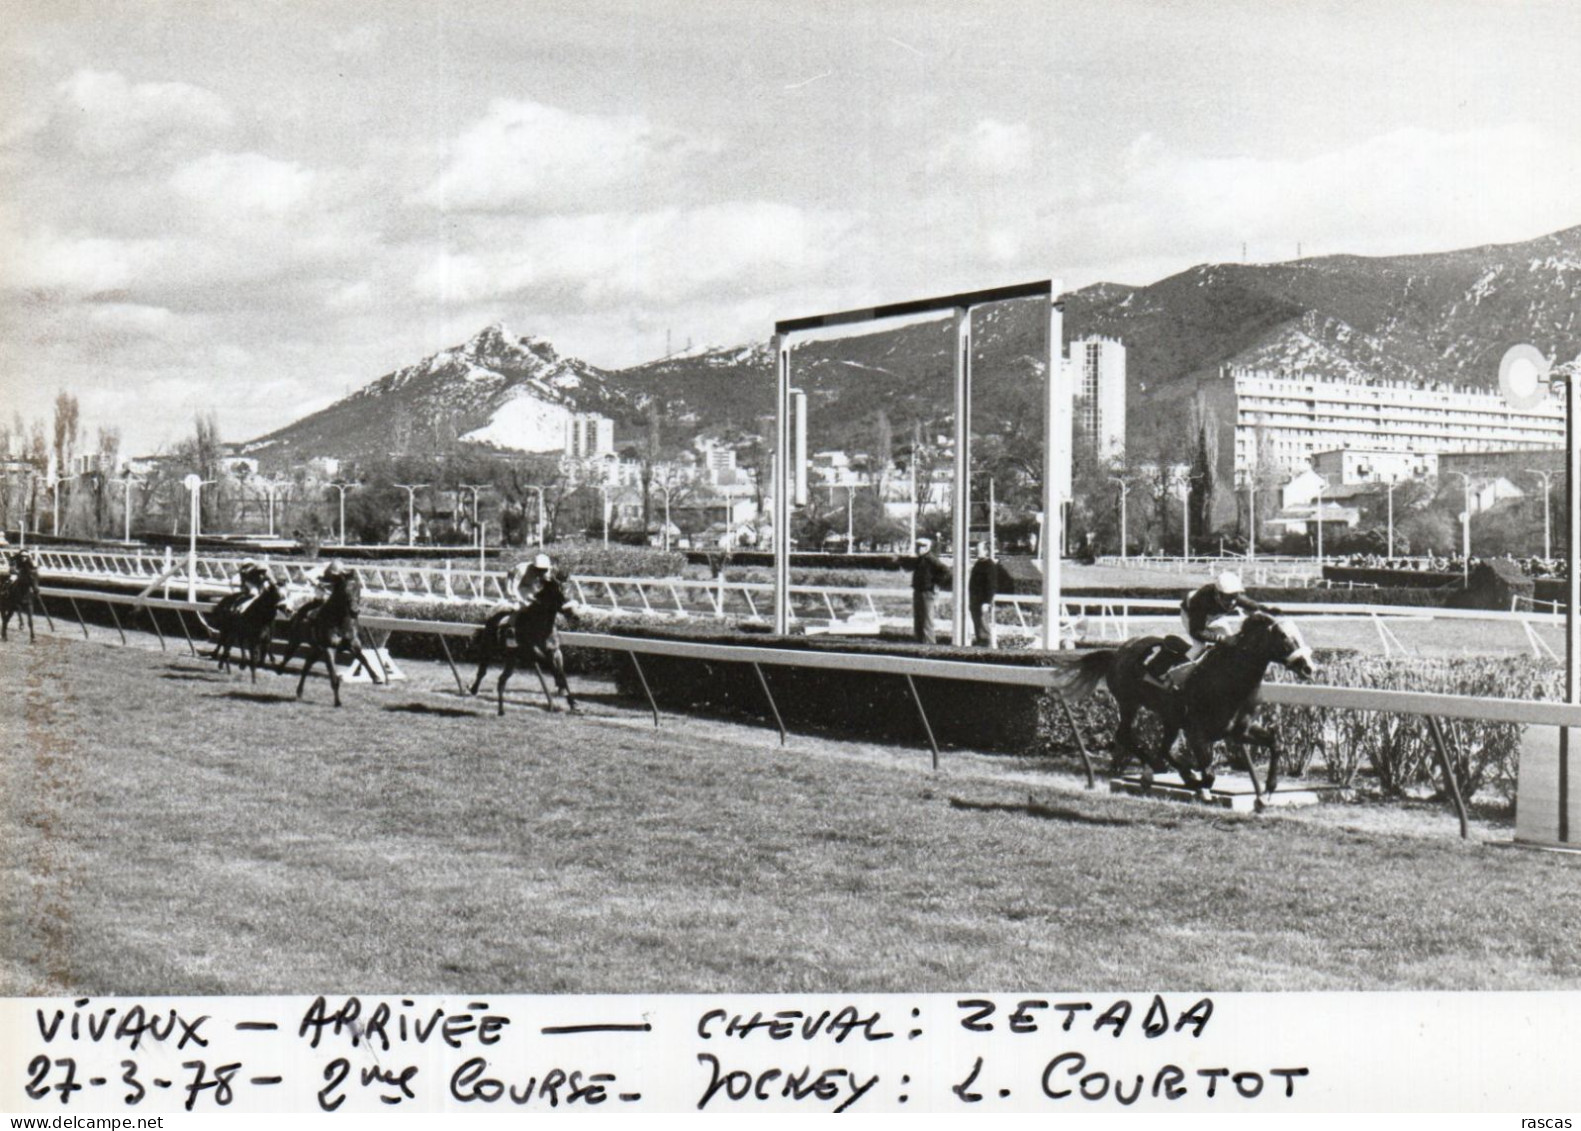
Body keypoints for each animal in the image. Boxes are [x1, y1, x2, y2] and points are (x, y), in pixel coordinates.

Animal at [273, 569, 381, 702]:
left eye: (358, 588)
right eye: (345, 590)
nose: (355, 611)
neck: (339, 622)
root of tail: (300, 612)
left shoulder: (353, 646)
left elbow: (364, 659)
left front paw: (376, 678)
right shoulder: (329, 648)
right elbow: (333, 674)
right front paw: (337, 701)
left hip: (317, 650)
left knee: (307, 665)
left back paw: (299, 691)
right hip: (295, 642)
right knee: (288, 657)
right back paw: (279, 670)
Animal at [467, 569, 581, 721]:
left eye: (573, 590)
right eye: (561, 593)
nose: (576, 616)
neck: (541, 627)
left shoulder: (555, 652)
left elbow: (561, 673)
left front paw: (572, 703)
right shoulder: (532, 652)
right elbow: (553, 668)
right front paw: (561, 689)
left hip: (512, 659)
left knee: (502, 680)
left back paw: (501, 710)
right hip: (488, 649)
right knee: (482, 671)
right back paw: (473, 689)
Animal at [1049, 613, 1321, 800]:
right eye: (1284, 637)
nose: (1309, 667)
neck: (1227, 678)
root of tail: (1119, 651)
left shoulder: (1238, 730)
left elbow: (1276, 743)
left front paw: (1267, 792)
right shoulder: (1196, 732)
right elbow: (1209, 775)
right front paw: (1196, 785)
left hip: (1169, 717)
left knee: (1161, 747)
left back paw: (1160, 770)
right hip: (1129, 702)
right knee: (1126, 735)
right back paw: (1156, 770)